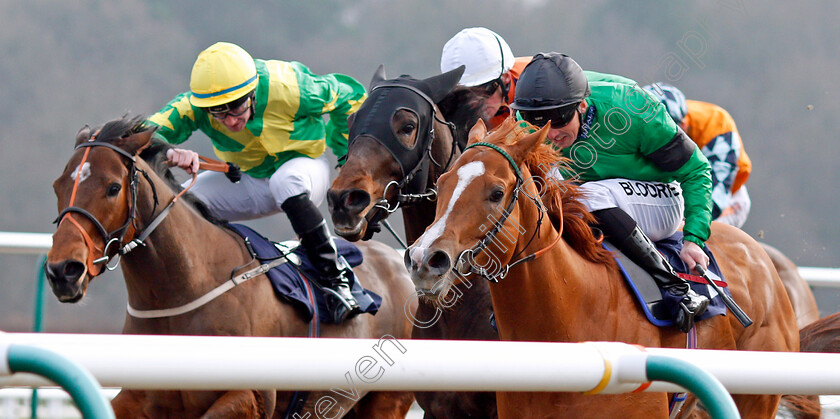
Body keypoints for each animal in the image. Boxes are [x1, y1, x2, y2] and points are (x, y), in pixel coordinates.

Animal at [42, 115, 416, 419]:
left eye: (113, 187)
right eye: (58, 186)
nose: (63, 270)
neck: (182, 291)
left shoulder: (252, 396)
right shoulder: (139, 396)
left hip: (386, 401)